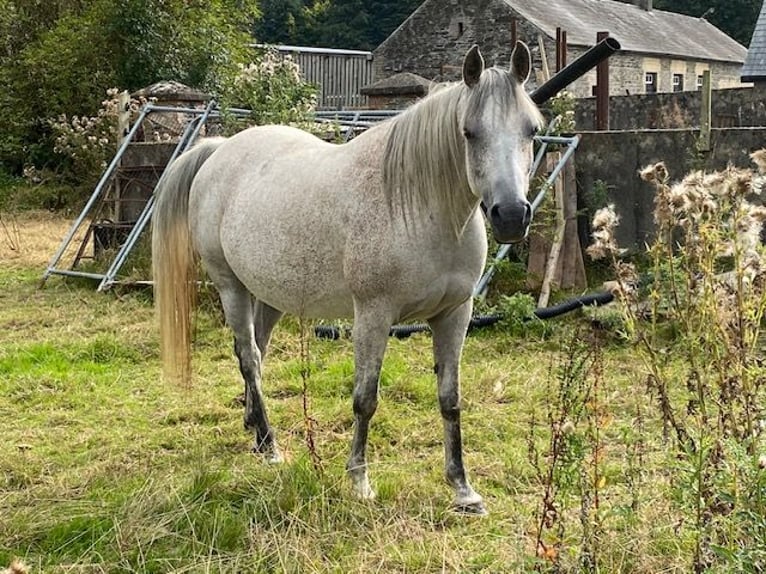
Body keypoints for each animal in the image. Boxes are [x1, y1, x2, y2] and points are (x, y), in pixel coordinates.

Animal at [153, 42, 544, 516]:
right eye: (469, 132)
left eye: (531, 130)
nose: (511, 216)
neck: (417, 206)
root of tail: (221, 149)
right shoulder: (373, 317)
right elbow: (365, 398)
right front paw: (359, 480)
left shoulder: (455, 314)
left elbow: (450, 401)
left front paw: (463, 490)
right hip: (231, 288)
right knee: (248, 356)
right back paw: (270, 445)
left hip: (268, 294)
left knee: (256, 355)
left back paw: (254, 430)